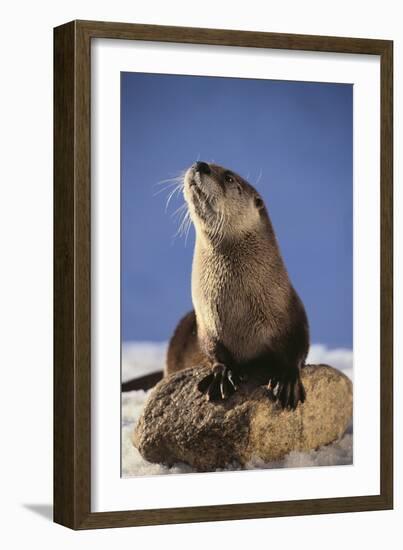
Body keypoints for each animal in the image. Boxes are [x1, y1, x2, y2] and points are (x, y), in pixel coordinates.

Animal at [166, 162, 310, 412]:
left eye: (229, 178)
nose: (200, 164)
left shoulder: (292, 311)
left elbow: (299, 346)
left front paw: (288, 380)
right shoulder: (205, 323)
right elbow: (213, 350)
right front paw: (222, 375)